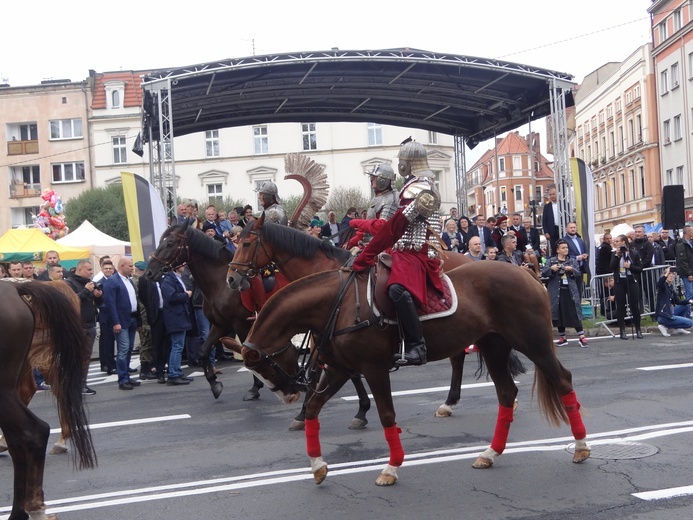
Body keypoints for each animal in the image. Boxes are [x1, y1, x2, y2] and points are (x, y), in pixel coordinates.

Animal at [146, 221, 374, 428]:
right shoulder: (220, 325)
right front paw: (214, 384)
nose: (149, 273)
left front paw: (255, 388)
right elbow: (203, 352)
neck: (219, 282)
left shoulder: (240, 325)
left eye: (170, 243)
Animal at [223, 262, 588, 486]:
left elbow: (387, 415)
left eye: (265, 366)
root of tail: (527, 272)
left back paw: (581, 447)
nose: (288, 395)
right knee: (506, 393)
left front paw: (391, 467)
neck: (338, 305)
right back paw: (490, 453)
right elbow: (313, 409)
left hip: (533, 343)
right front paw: (317, 466)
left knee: (563, 380)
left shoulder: (373, 369)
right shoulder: (340, 369)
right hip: (494, 346)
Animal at [227, 213, 524, 416]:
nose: (231, 278)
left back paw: (452, 400)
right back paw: (450, 401)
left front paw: (358, 410)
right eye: (236, 241)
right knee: (458, 356)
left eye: (248, 243)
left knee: (458, 357)